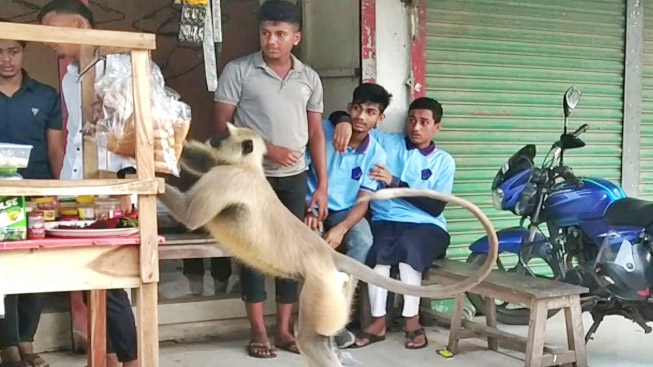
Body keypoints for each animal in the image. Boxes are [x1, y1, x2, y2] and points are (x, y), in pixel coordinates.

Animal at [160, 123, 496, 367]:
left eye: (221, 136)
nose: (213, 136)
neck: (250, 169)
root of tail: (329, 254)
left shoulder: (228, 178)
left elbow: (190, 215)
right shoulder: (225, 169)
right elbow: (200, 161)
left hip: (320, 285)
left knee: (311, 340)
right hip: (338, 289)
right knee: (323, 339)